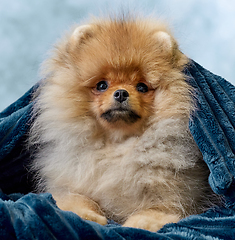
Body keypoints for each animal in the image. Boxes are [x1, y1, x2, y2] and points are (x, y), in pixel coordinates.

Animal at [28, 14, 213, 231]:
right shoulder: (69, 182)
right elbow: (75, 199)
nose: (121, 93)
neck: (118, 146)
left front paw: (139, 223)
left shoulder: (176, 197)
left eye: (142, 87)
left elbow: (155, 211)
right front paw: (88, 215)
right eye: (102, 85)